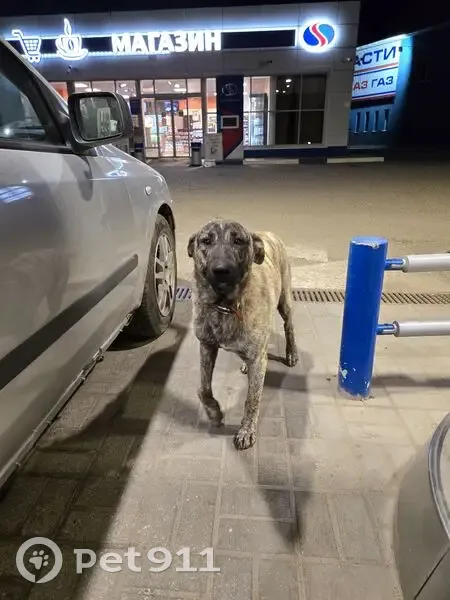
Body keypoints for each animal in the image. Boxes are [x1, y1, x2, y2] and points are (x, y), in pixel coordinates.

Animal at [187, 219, 299, 450]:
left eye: (238, 241)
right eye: (206, 241)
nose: (221, 270)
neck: (225, 306)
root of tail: (268, 232)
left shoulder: (258, 359)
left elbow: (252, 399)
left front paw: (246, 430)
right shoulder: (206, 346)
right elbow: (203, 389)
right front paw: (214, 413)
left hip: (284, 301)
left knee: (289, 326)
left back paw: (291, 353)